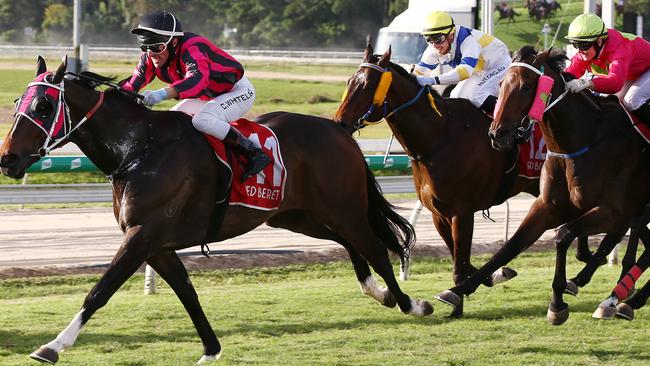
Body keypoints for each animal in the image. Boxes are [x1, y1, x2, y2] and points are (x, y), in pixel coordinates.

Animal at [3, 56, 436, 364]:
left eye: (44, 106)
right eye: (19, 102)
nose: (8, 159)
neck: (139, 150)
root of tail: (339, 130)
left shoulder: (142, 236)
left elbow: (100, 290)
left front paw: (52, 345)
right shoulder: (156, 244)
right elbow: (187, 292)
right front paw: (211, 348)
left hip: (342, 208)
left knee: (375, 248)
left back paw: (410, 303)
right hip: (295, 215)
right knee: (348, 244)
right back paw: (377, 291)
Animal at [334, 43, 592, 318]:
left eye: (368, 85)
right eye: (350, 81)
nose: (340, 122)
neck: (439, 138)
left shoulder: (462, 212)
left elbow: (460, 265)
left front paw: (456, 307)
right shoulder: (439, 214)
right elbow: (463, 260)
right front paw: (495, 276)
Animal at [436, 45, 648, 324]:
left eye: (527, 87)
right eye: (501, 84)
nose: (497, 134)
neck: (580, 143)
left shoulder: (611, 211)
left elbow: (563, 234)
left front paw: (557, 304)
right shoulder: (548, 206)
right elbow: (511, 246)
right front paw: (457, 290)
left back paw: (623, 299)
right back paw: (617, 297)